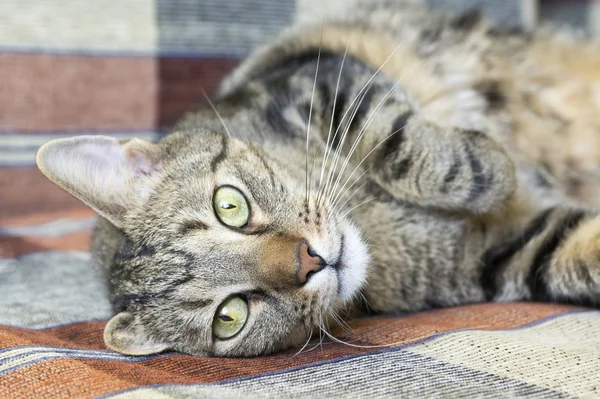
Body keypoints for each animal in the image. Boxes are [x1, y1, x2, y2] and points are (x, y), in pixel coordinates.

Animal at [35, 0, 600, 360]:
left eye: (230, 206)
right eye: (230, 316)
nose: (311, 260)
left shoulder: (320, 79)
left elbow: (398, 143)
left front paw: (492, 168)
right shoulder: (500, 253)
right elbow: (575, 253)